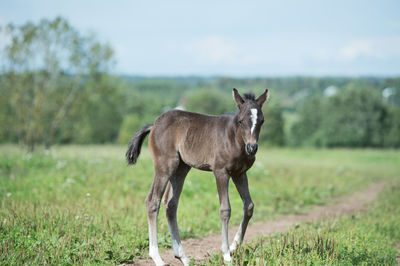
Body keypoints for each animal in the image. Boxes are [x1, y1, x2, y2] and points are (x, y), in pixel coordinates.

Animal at [125, 88, 268, 264]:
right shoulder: (220, 171)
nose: (252, 148)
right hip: (165, 166)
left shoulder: (239, 173)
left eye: (262, 121)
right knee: (153, 201)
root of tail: (154, 125)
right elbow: (225, 209)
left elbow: (249, 206)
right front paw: (226, 254)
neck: (234, 138)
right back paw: (157, 258)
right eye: (241, 121)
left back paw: (182, 257)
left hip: (181, 169)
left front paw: (234, 247)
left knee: (170, 204)